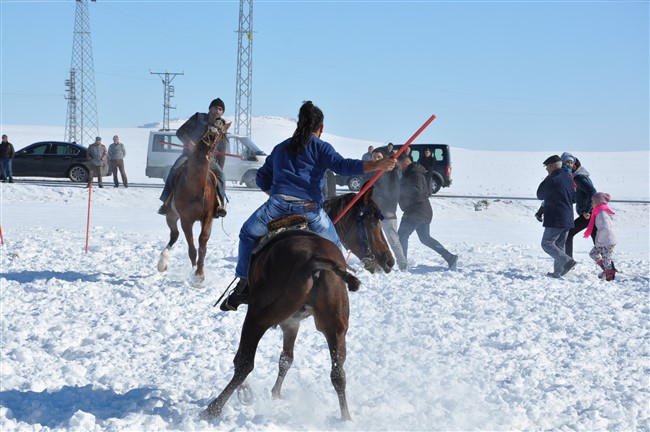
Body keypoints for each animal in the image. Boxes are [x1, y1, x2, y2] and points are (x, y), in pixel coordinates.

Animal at [200, 192, 392, 422]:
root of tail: (315, 262)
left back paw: (215, 407)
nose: (389, 261)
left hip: (258, 316)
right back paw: (346, 419)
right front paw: (276, 394)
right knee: (338, 373)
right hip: (335, 327)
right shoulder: (291, 323)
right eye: (372, 221)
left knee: (244, 362)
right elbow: (286, 359)